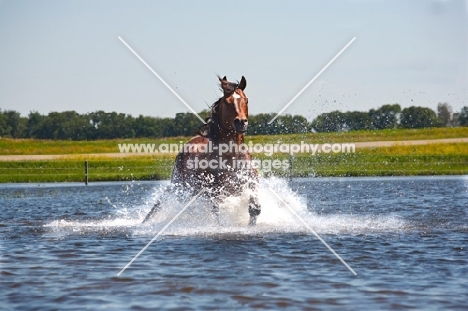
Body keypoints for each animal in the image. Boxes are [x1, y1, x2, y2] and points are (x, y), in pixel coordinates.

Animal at [141, 75, 262, 227]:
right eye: (227, 102)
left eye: (246, 100)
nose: (241, 122)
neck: (231, 156)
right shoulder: (214, 191)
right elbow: (216, 213)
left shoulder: (250, 183)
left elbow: (255, 208)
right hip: (180, 186)